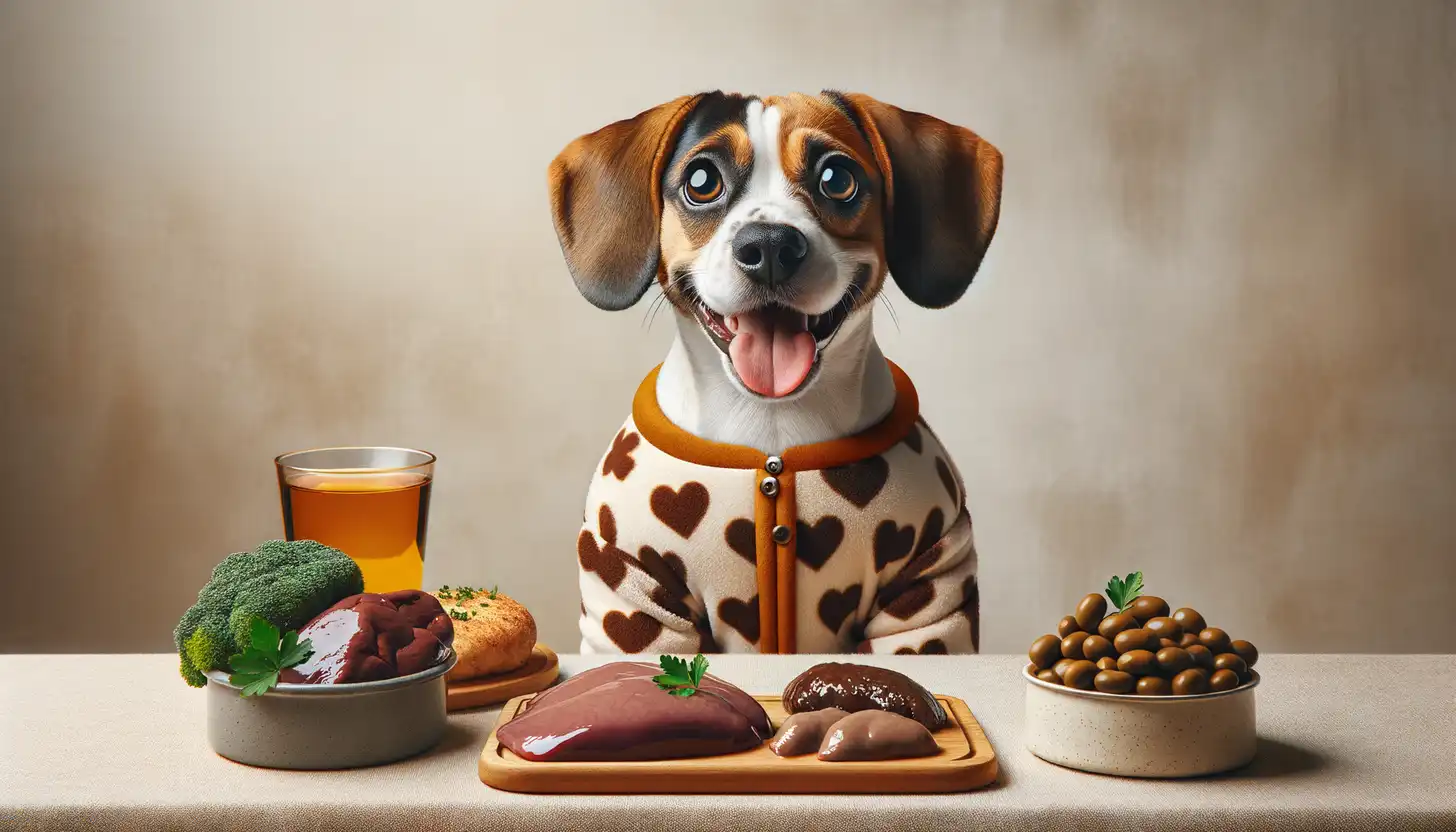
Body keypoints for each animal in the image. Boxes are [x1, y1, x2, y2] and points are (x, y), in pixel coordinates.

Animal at [547, 92, 1001, 658]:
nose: (768, 247)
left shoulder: (929, 596)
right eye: (701, 181)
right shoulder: (630, 597)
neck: (772, 427)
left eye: (837, 178)